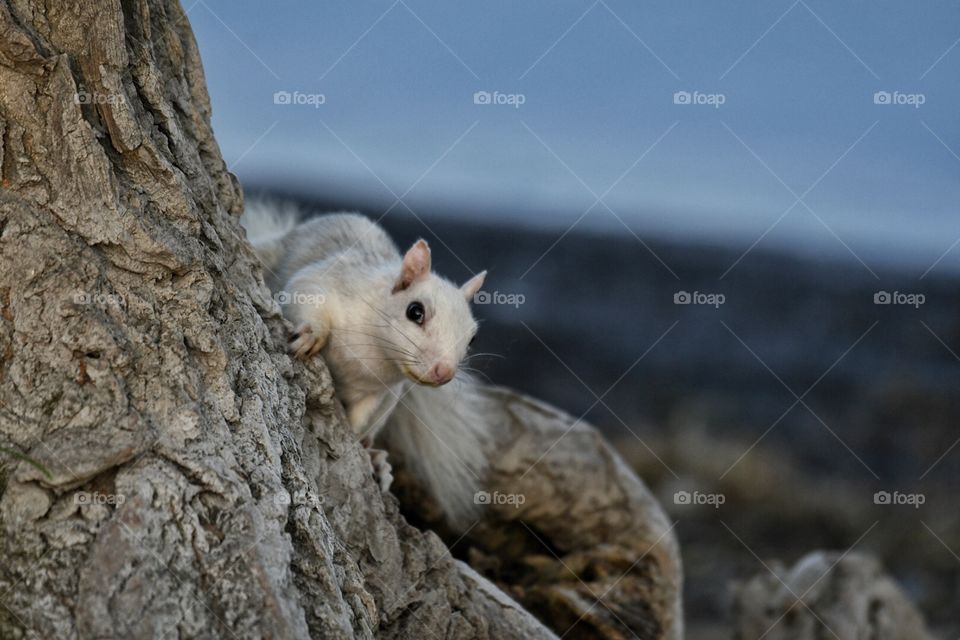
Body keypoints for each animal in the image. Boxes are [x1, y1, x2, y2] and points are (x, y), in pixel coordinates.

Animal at [240, 201, 496, 528]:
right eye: (415, 311)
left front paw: (357, 442)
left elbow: (360, 418)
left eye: (473, 337)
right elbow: (306, 293)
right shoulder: (326, 282)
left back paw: (376, 459)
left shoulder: (381, 391)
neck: (374, 353)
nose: (444, 372)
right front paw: (312, 335)